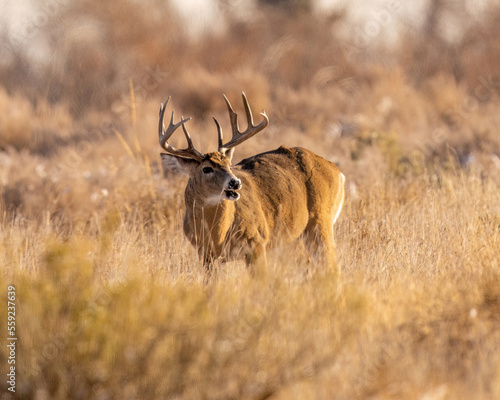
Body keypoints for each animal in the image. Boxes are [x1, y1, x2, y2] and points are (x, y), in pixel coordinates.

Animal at [159, 92, 344, 276]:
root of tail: (338, 172)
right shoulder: (206, 255)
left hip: (321, 220)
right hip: (298, 236)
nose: (235, 182)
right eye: (206, 169)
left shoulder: (257, 242)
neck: (217, 235)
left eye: (229, 163)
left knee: (332, 266)